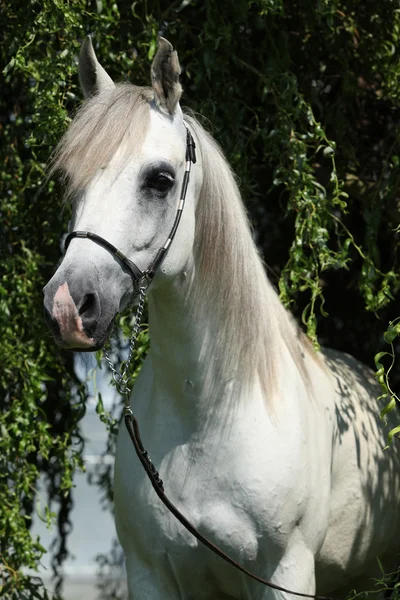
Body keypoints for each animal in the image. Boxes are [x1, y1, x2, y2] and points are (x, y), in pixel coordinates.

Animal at [43, 38, 400, 600]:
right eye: (68, 180)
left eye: (160, 180)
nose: (66, 307)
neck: (210, 413)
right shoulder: (150, 574)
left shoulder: (285, 573)